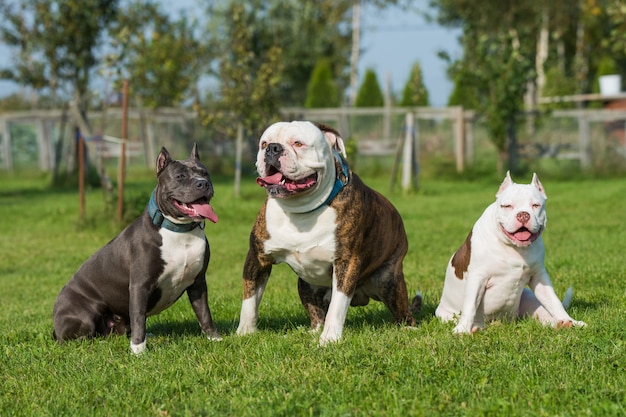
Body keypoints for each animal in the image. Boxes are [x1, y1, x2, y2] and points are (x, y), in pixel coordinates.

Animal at [434, 171, 584, 334]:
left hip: (529, 297)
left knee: (545, 314)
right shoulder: (477, 278)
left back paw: (562, 323)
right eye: (507, 206)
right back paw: (473, 328)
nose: (523, 215)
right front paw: (461, 330)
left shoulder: (539, 276)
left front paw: (570, 320)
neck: (514, 248)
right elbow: (470, 305)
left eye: (536, 205)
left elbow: (553, 301)